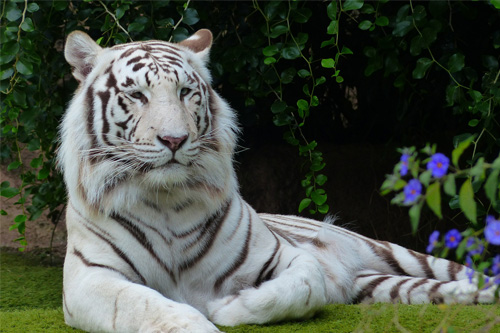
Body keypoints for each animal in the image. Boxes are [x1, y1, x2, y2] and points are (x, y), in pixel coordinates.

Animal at [59, 29, 496, 332]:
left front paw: (227, 308)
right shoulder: (89, 279)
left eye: (185, 92)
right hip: (379, 284)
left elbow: (305, 284)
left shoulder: (283, 255)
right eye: (137, 95)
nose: (174, 139)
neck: (167, 200)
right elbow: (145, 305)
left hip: (390, 250)